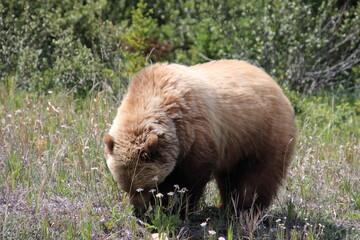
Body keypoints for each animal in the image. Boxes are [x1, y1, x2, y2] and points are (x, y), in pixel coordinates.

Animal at [104, 59, 296, 214]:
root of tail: (275, 84)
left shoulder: (195, 134)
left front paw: (174, 207)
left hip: (261, 134)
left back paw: (245, 209)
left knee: (258, 176)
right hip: (234, 148)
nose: (138, 209)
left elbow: (188, 179)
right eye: (124, 187)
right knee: (227, 178)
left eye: (142, 187)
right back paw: (224, 205)